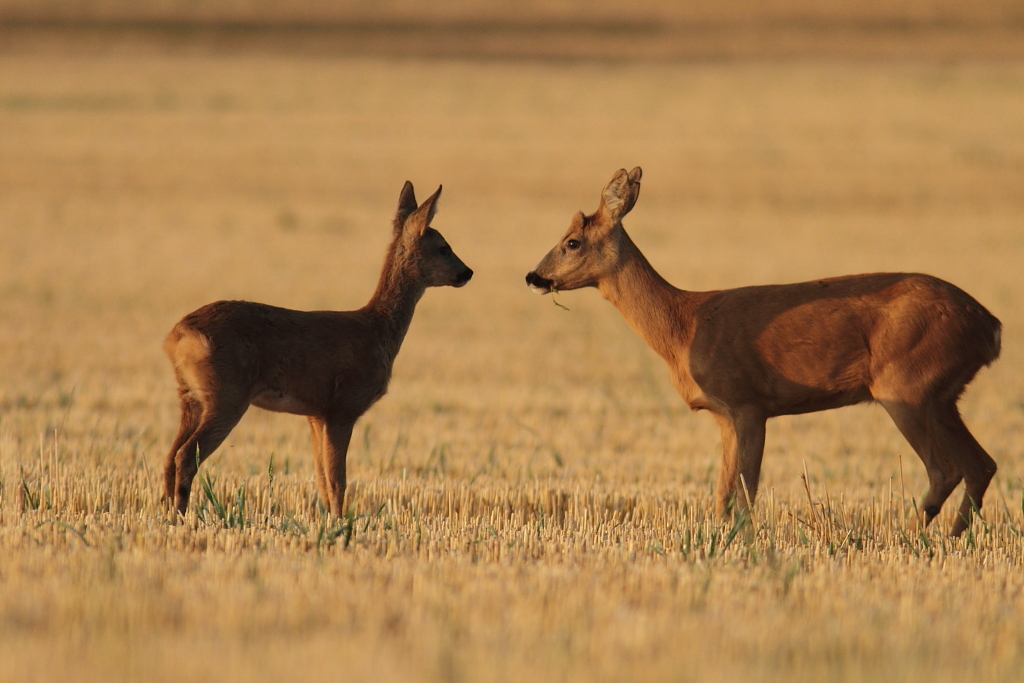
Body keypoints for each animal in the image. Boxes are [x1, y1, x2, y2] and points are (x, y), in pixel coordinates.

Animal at [161, 184, 473, 516]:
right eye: (443, 247)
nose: (468, 272)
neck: (378, 330)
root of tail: (178, 335)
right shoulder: (343, 406)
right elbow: (337, 481)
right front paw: (341, 522)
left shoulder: (315, 414)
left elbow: (321, 479)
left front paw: (328, 520)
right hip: (227, 393)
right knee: (185, 456)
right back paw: (181, 515)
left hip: (190, 396)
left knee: (168, 456)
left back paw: (166, 513)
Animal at [528, 167, 999, 536]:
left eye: (572, 242)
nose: (533, 276)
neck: (683, 326)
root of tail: (990, 325)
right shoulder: (723, 415)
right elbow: (721, 496)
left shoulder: (748, 402)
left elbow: (745, 494)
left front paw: (746, 545)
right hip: (942, 395)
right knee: (982, 464)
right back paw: (951, 537)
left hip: (905, 385)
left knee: (946, 469)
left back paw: (908, 537)